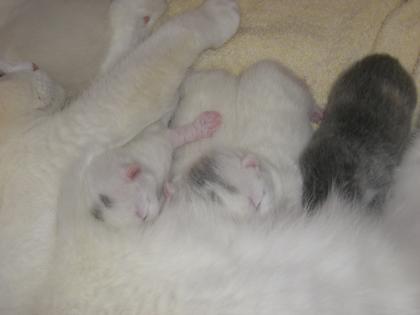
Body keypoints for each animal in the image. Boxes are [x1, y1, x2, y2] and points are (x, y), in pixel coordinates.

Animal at [0, 0, 240, 314]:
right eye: (2, 74)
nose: (34, 65)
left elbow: (121, 55)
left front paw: (137, 14)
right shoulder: (75, 134)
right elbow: (153, 58)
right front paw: (215, 16)